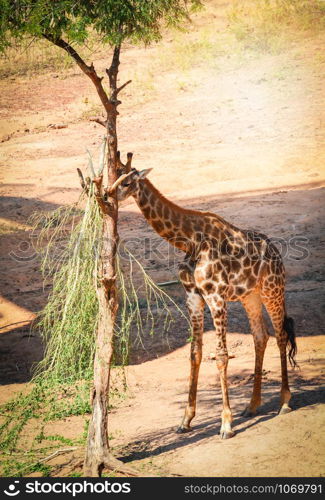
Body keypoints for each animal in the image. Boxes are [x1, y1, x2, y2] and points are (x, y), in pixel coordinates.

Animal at [114, 160, 296, 438]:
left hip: (272, 290)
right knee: (260, 336)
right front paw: (185, 419)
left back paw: (284, 402)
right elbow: (195, 353)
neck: (190, 241)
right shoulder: (193, 298)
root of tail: (277, 253)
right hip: (250, 297)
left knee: (281, 335)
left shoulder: (216, 297)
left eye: (126, 182)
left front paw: (226, 424)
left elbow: (221, 356)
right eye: (112, 178)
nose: (105, 196)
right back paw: (252, 406)